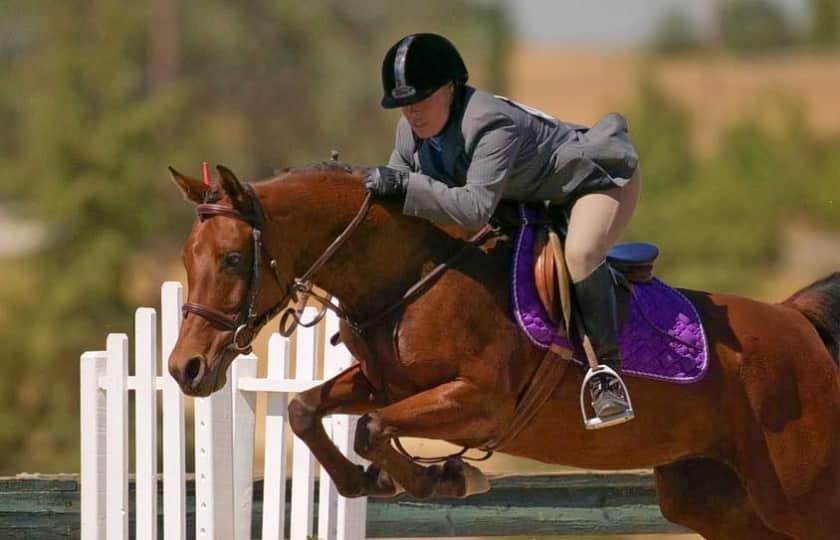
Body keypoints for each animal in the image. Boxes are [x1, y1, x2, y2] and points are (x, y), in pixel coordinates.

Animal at [167, 162, 839, 540]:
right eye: (187, 260)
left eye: (233, 259)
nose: (184, 368)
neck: (412, 274)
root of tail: (796, 323)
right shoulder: (383, 383)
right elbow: (310, 410)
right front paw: (370, 480)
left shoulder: (479, 402)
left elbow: (373, 427)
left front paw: (442, 477)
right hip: (721, 504)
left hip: (801, 498)